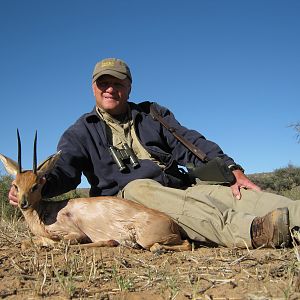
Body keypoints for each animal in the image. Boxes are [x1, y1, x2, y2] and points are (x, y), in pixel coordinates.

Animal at [0, 130, 191, 252]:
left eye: (36, 185)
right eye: (15, 185)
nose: (23, 203)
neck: (44, 213)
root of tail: (173, 223)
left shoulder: (74, 233)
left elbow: (65, 244)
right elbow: (26, 243)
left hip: (147, 238)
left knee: (186, 244)